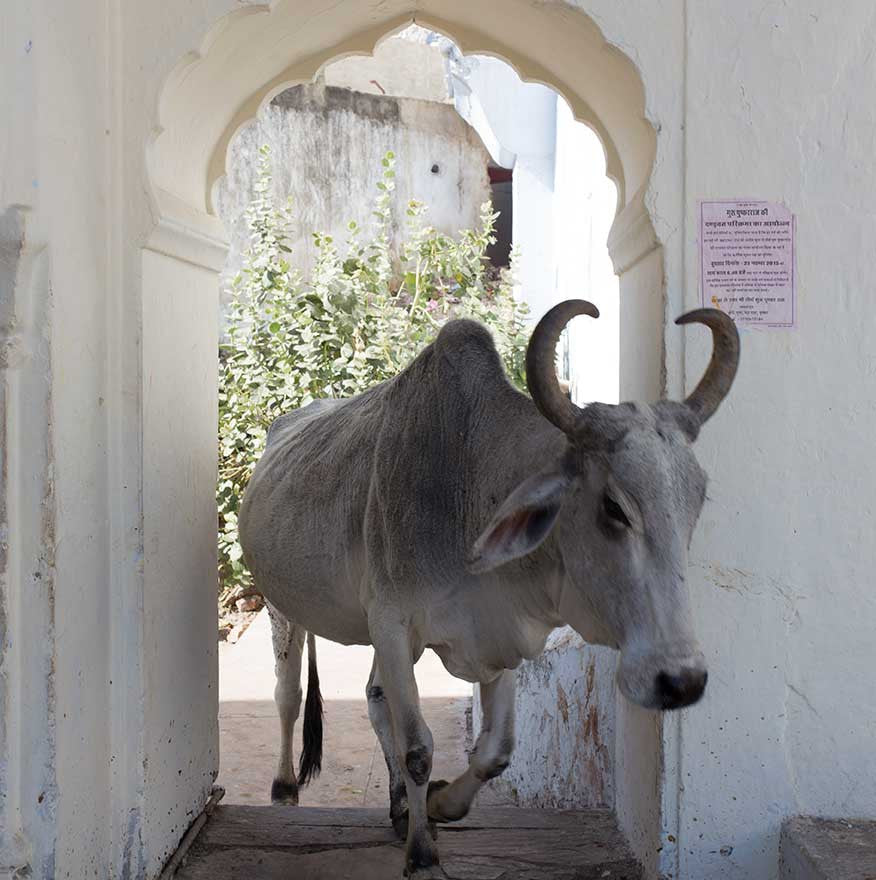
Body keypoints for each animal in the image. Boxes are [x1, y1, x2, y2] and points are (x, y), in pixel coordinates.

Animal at [238, 300, 740, 876]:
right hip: (280, 604)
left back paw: (398, 807)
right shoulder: (392, 623)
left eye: (697, 498)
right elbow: (418, 748)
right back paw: (285, 788)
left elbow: (495, 750)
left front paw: (437, 805)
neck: (469, 485)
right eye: (614, 507)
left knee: (375, 698)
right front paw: (423, 854)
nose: (679, 680)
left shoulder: (497, 634)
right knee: (288, 695)